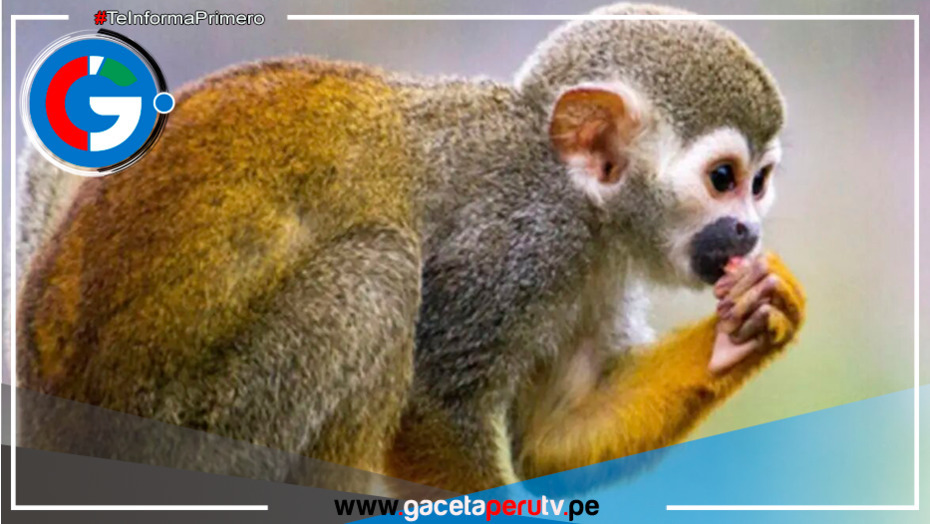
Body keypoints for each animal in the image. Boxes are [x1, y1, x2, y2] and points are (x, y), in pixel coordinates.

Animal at [16, 2, 804, 496]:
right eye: (723, 179)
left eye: (759, 185)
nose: (748, 230)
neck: (582, 201)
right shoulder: (517, 242)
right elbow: (433, 408)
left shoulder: (597, 269)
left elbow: (559, 434)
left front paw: (748, 324)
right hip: (196, 434)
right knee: (376, 275)